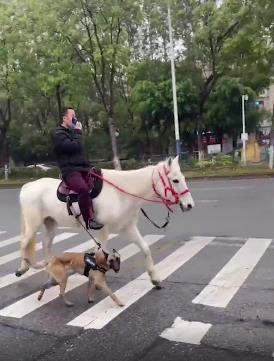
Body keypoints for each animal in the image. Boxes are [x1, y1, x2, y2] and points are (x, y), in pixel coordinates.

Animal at [16, 155, 194, 286]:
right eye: (175, 180)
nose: (189, 205)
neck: (121, 193)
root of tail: (27, 186)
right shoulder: (102, 230)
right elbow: (100, 254)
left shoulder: (129, 227)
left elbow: (145, 248)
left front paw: (155, 278)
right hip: (33, 224)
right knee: (24, 243)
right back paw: (23, 268)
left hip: (50, 223)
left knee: (45, 245)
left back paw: (51, 272)